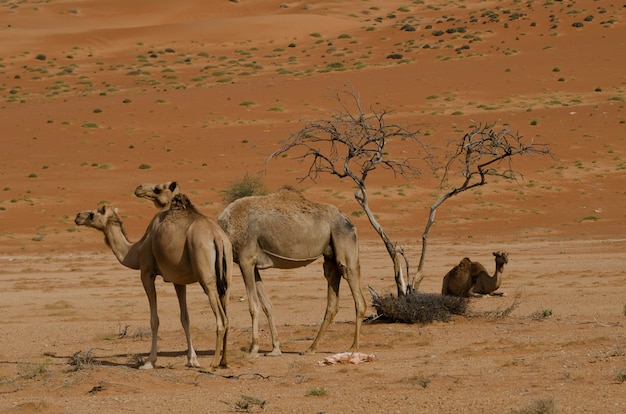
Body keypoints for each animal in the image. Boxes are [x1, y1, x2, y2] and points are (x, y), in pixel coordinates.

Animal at [72, 193, 229, 368]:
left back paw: (214, 363)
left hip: (206, 277)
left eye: (93, 213)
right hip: (226, 271)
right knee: (227, 316)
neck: (137, 250)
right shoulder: (178, 279)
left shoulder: (147, 273)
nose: (78, 216)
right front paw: (192, 360)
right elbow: (185, 318)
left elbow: (154, 320)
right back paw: (224, 360)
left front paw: (149, 362)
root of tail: (216, 236)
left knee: (221, 319)